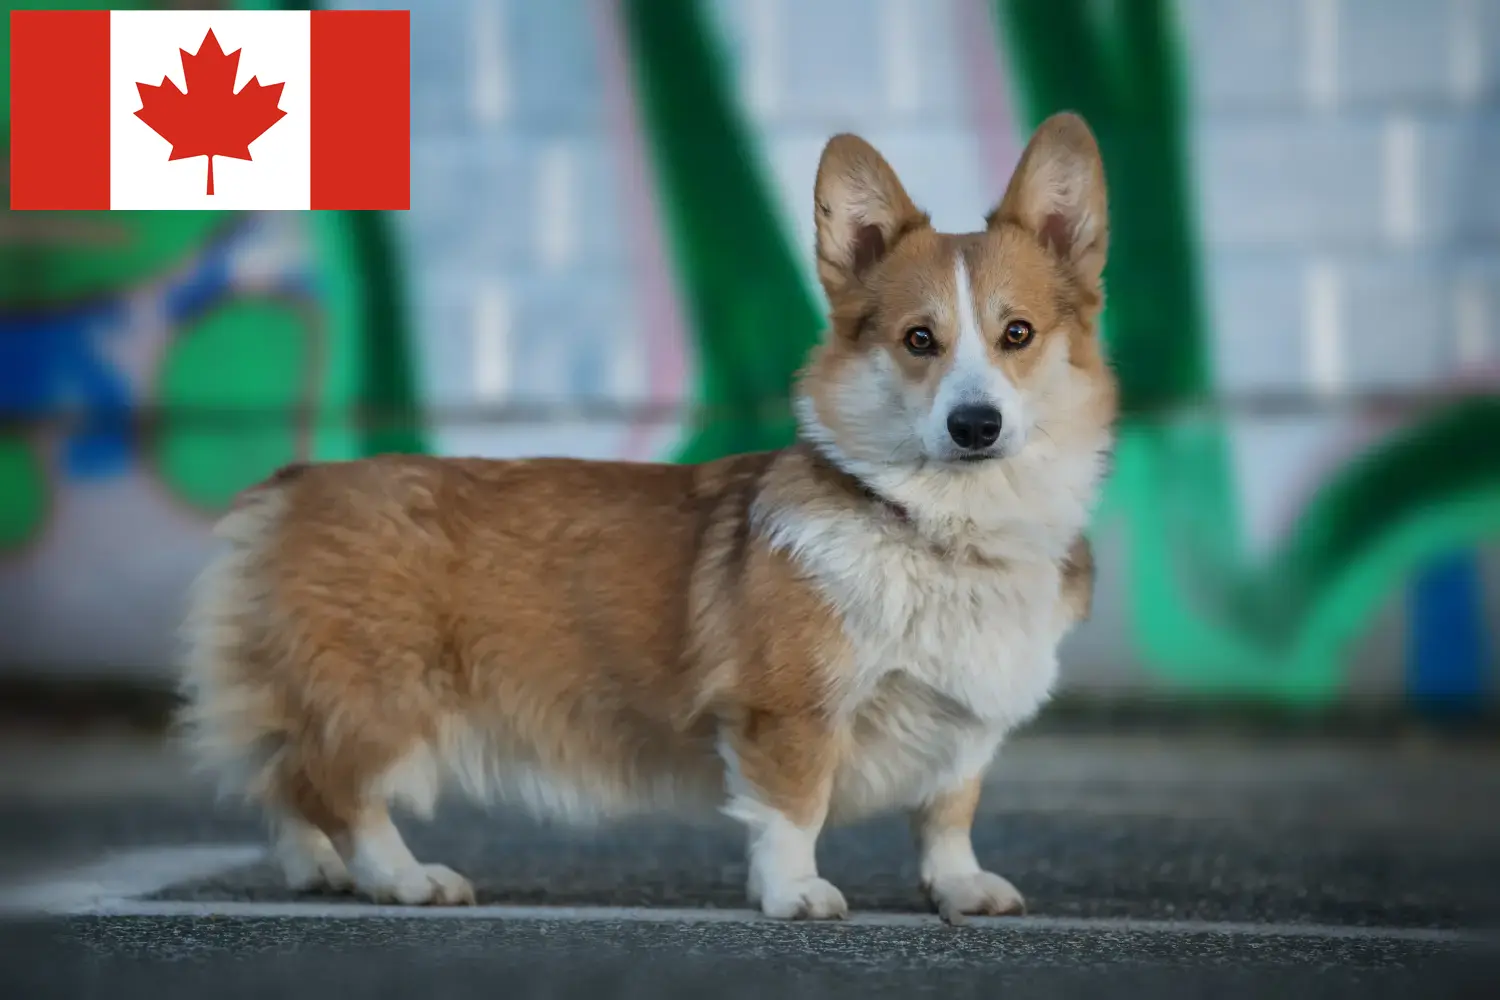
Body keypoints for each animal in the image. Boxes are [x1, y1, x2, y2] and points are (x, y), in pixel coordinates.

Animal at [178, 111, 1116, 923]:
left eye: (1018, 333)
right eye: (920, 340)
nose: (975, 425)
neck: (942, 529)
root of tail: (292, 483)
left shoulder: (965, 726)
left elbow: (947, 813)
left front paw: (959, 887)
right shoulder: (788, 714)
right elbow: (794, 808)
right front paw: (793, 893)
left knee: (285, 779)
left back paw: (320, 869)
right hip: (384, 700)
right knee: (339, 788)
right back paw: (403, 877)